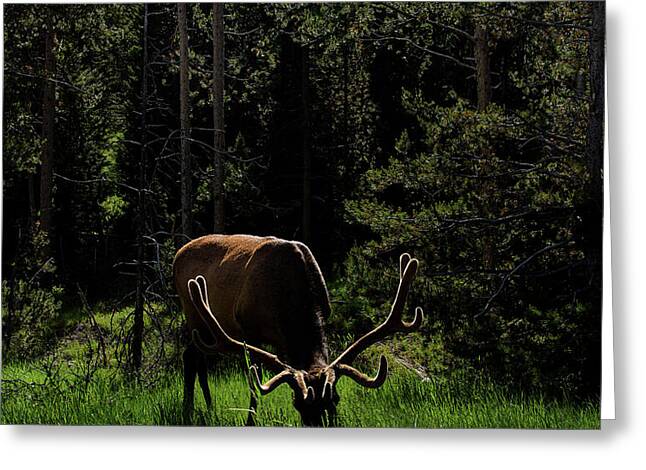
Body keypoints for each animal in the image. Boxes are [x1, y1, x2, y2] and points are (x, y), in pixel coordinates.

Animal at [173, 234, 423, 426]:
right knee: (190, 356)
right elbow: (254, 384)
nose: (319, 424)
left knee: (198, 358)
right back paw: (187, 410)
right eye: (297, 403)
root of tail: (178, 254)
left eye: (335, 399)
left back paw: (208, 407)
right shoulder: (249, 331)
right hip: (193, 314)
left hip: (205, 329)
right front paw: (250, 421)